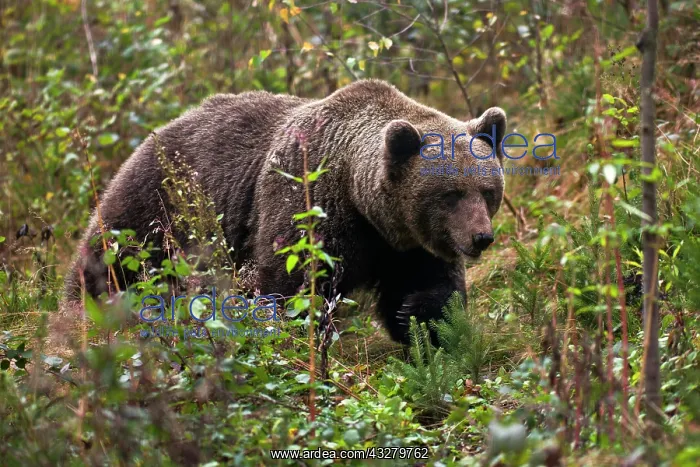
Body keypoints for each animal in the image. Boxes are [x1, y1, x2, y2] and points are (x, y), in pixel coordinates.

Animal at [64, 79, 506, 344]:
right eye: (450, 194)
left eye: (487, 191)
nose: (481, 238)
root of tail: (155, 132)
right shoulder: (308, 202)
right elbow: (290, 285)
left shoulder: (406, 244)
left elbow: (433, 289)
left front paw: (420, 318)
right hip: (159, 205)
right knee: (109, 263)